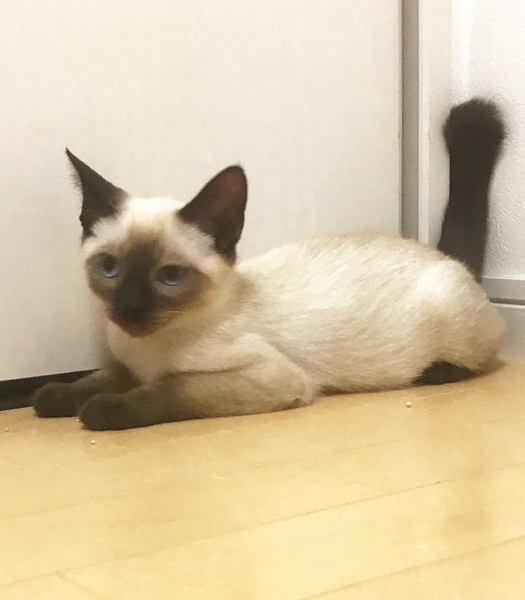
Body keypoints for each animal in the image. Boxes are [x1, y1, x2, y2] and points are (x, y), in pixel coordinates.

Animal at [33, 98, 505, 430]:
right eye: (109, 268)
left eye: (169, 276)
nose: (128, 309)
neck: (146, 349)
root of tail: (442, 255)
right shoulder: (126, 363)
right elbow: (102, 376)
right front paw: (54, 396)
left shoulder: (267, 377)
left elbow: (168, 390)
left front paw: (99, 411)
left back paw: (435, 372)